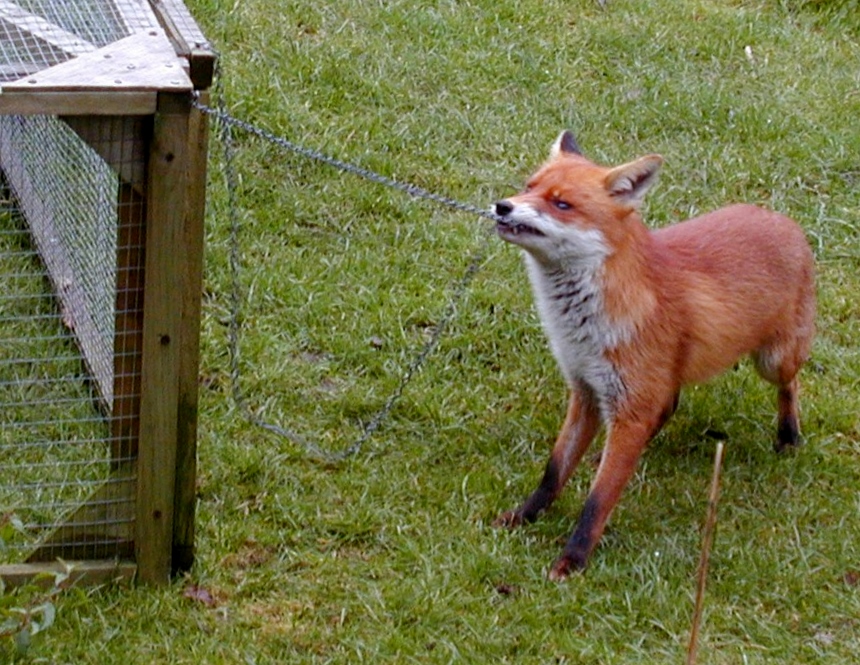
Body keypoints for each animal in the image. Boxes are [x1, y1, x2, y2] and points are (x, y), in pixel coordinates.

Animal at [492, 131, 816, 580]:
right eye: (529, 186)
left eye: (562, 204)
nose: (502, 205)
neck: (581, 326)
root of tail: (782, 220)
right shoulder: (587, 391)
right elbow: (554, 471)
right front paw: (524, 517)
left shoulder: (629, 405)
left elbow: (598, 500)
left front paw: (572, 560)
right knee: (670, 403)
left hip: (773, 359)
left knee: (790, 384)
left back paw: (788, 435)